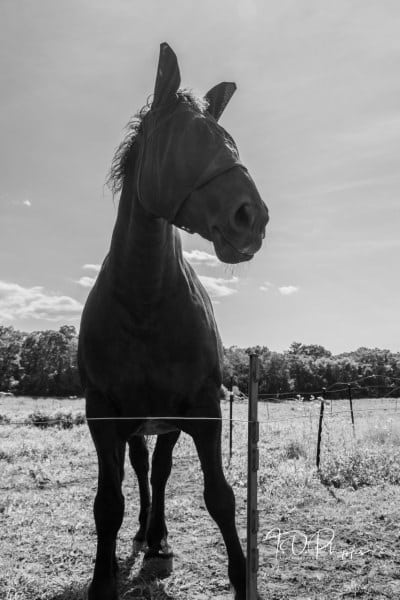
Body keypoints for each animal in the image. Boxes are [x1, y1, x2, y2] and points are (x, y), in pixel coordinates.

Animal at [77, 43, 268, 600]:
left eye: (229, 143)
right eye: (182, 142)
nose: (252, 217)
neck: (144, 303)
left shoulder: (204, 411)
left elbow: (221, 497)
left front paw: (242, 579)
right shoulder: (104, 416)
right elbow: (109, 504)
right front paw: (103, 579)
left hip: (166, 423)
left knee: (158, 473)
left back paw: (158, 537)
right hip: (138, 425)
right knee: (142, 473)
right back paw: (146, 532)